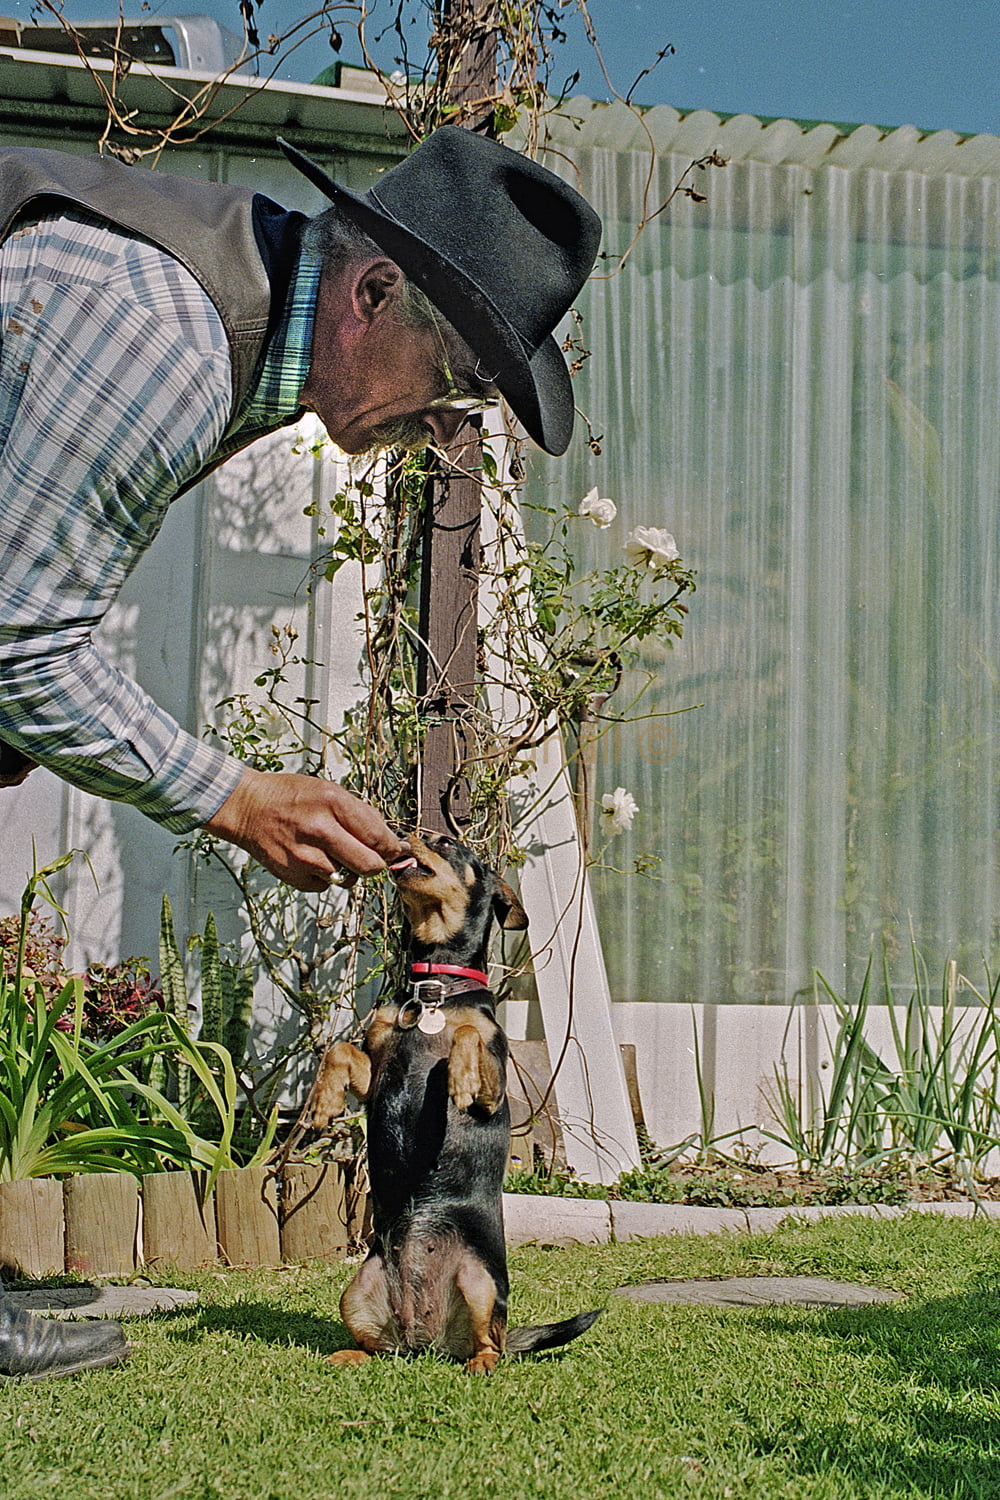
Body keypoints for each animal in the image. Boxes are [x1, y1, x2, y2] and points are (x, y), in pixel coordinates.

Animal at [313, 834, 602, 1374]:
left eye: (446, 843)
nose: (408, 832)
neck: (435, 989)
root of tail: (428, 1340)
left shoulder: (495, 1088)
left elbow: (469, 1035)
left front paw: (460, 1076)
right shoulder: (376, 1073)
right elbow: (339, 1049)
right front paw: (322, 1102)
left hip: (480, 1280)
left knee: (492, 1342)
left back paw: (482, 1363)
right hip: (356, 1290)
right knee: (380, 1347)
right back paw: (352, 1354)